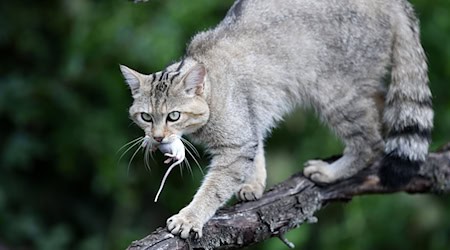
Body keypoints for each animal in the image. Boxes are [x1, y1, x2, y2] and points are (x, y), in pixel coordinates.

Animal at [118, 0, 432, 239]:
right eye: (146, 117)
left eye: (174, 116)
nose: (157, 138)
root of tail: (393, 2)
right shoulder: (251, 121)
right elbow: (256, 150)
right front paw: (254, 184)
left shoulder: (236, 143)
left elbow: (214, 187)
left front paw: (190, 217)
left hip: (336, 94)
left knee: (370, 142)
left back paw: (331, 172)